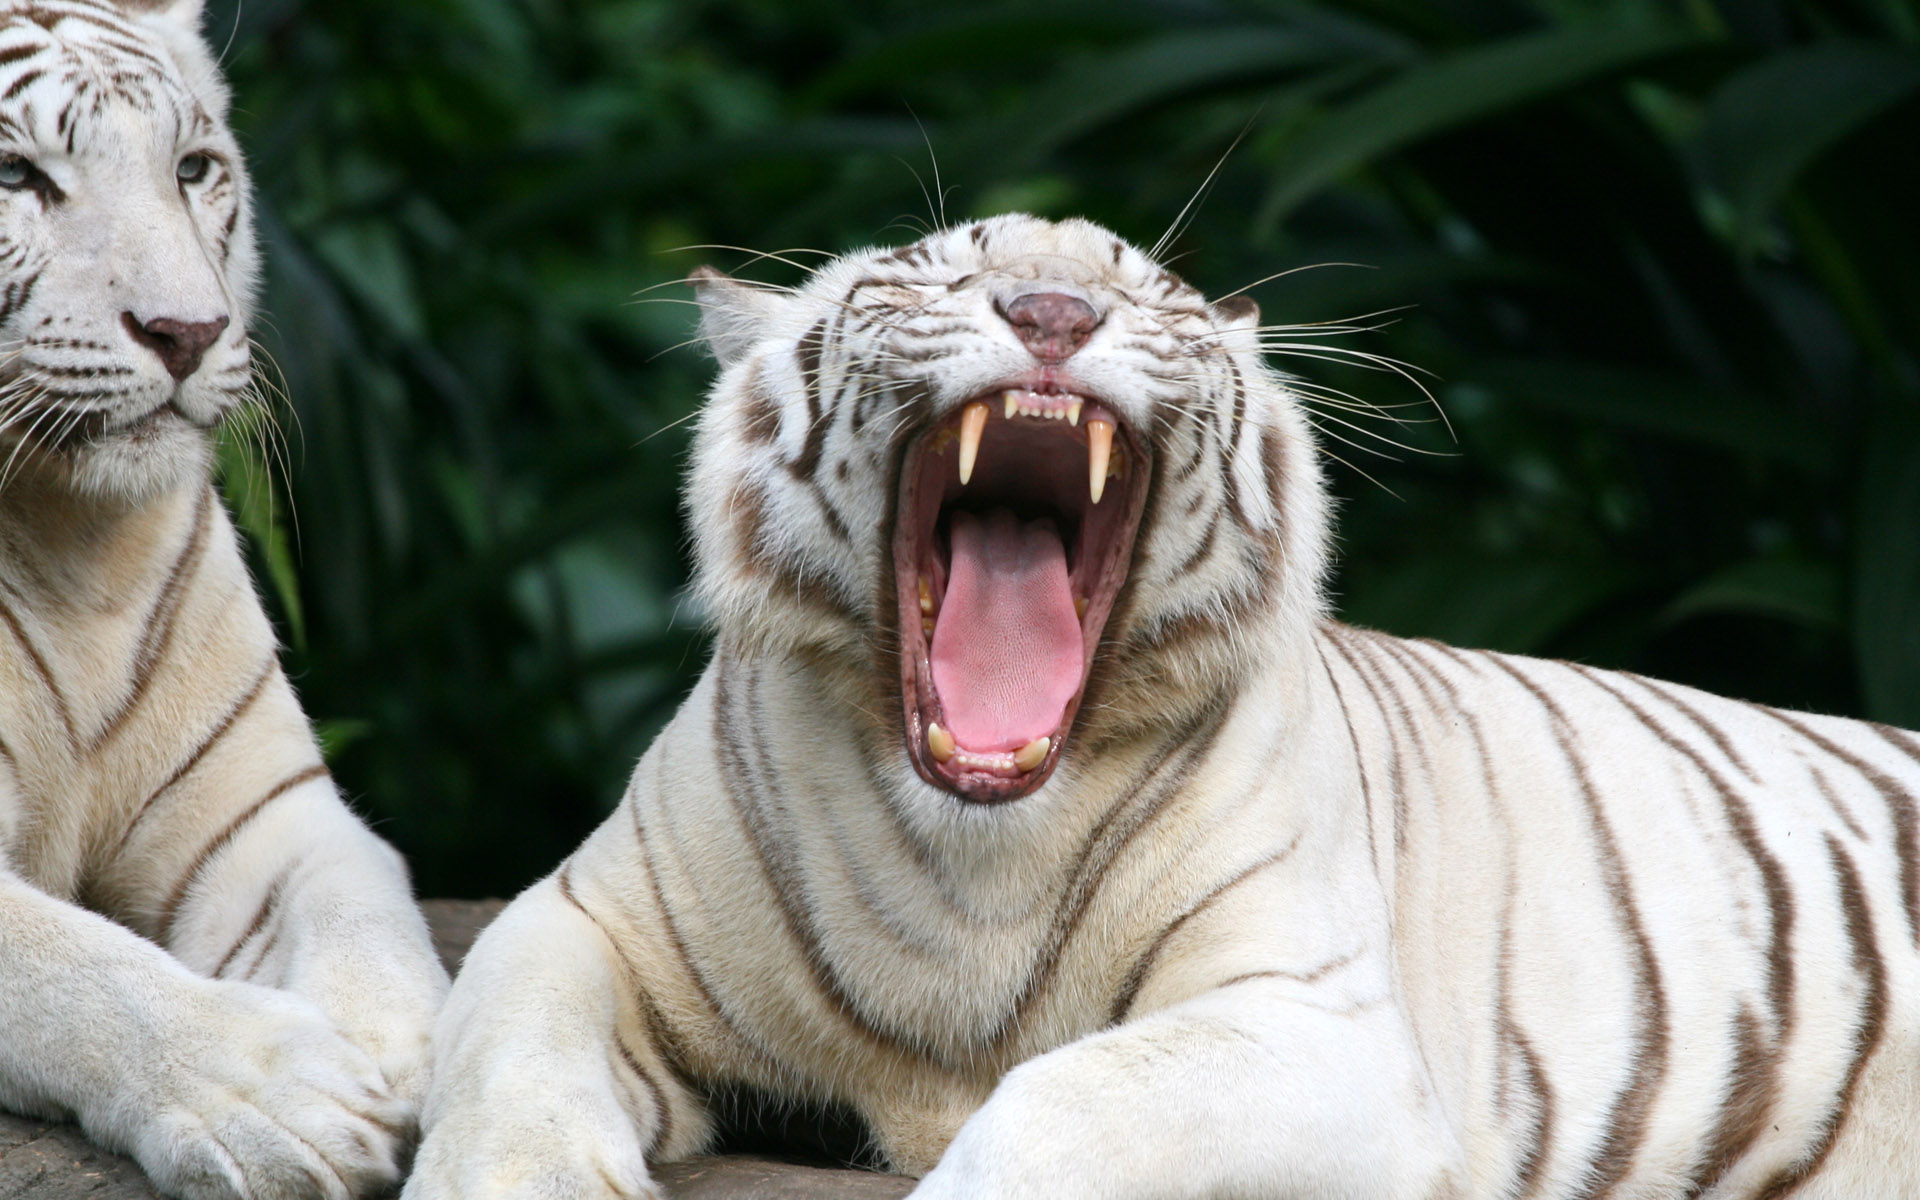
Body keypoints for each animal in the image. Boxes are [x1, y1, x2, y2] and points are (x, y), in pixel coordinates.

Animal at [0, 2, 447, 1197]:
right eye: (17, 176)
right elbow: (79, 963)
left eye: (190, 168)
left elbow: (364, 907)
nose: (187, 332)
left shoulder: (265, 809)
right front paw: (274, 1100)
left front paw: (417, 1058)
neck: (70, 548)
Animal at [403, 212, 1919, 1199]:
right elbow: (501, 1048)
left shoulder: (1325, 1033)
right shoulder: (587, 915)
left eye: (1158, 293)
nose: (1054, 315)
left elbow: (1061, 1105)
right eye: (944, 268)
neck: (965, 852)